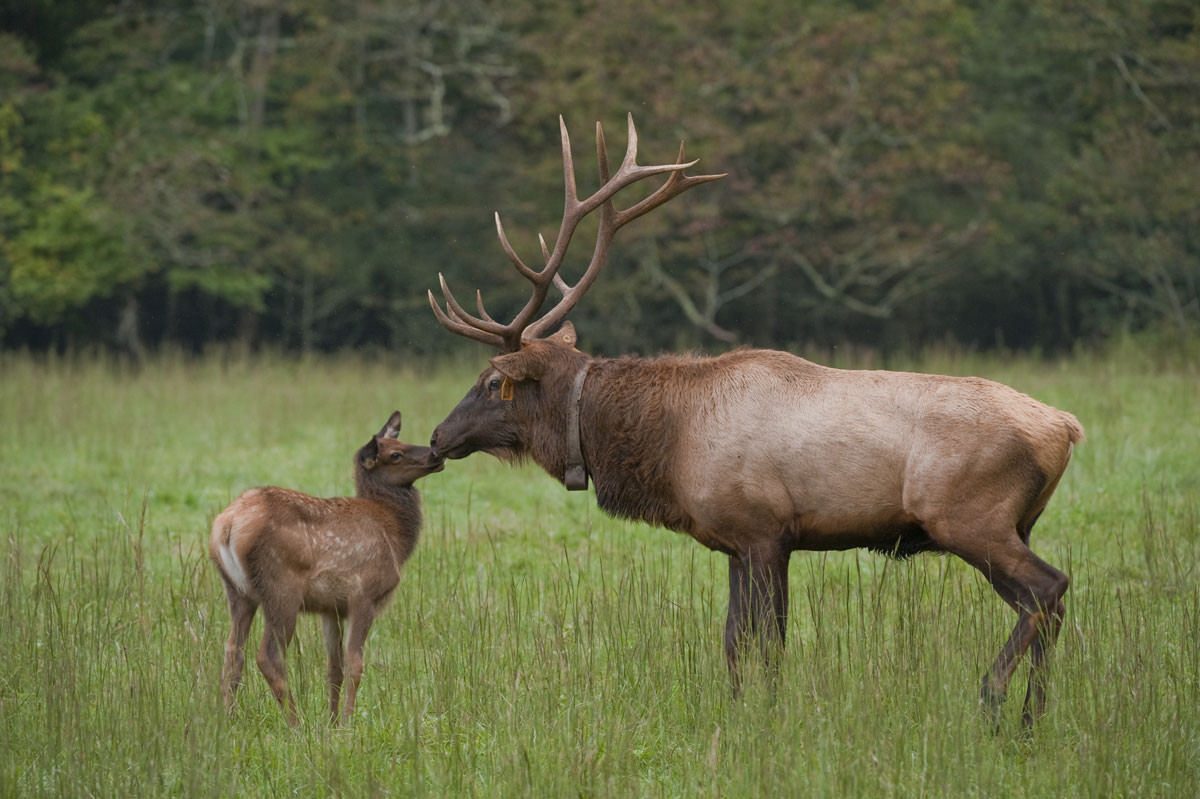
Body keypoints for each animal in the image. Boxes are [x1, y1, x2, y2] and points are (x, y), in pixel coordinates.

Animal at [209, 411, 443, 725]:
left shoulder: (330, 608)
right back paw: (296, 725)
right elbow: (355, 664)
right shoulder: (364, 594)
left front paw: (332, 722)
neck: (393, 535)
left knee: (233, 650)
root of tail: (226, 526)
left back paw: (228, 719)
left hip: (238, 592)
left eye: (403, 441)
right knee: (268, 657)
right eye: (395, 454)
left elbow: (335, 668)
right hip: (282, 588)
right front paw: (346, 723)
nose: (435, 453)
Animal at [426, 115, 1084, 727]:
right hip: (1015, 523)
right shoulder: (737, 544)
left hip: (969, 516)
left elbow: (770, 643)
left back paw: (995, 702)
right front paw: (741, 711)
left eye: (492, 382)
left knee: (1048, 589)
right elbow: (734, 642)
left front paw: (769, 716)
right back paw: (1033, 716)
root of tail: (1065, 427)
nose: (436, 437)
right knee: (1041, 603)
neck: (670, 448)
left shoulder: (767, 530)